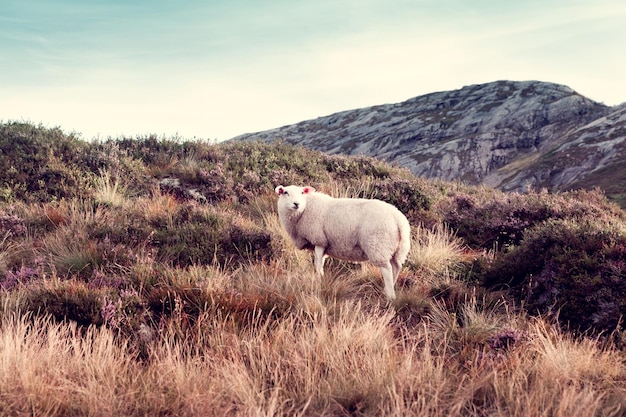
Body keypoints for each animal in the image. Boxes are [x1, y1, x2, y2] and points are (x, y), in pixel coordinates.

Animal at [274, 184, 410, 298]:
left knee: (387, 269)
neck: (305, 208)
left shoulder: (319, 241)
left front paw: (318, 281)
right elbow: (321, 264)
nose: (296, 204)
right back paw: (388, 289)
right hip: (396, 249)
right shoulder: (325, 246)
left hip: (378, 245)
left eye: (302, 192)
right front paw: (322, 279)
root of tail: (399, 219)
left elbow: (317, 264)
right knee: (396, 267)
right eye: (285, 192)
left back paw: (389, 296)